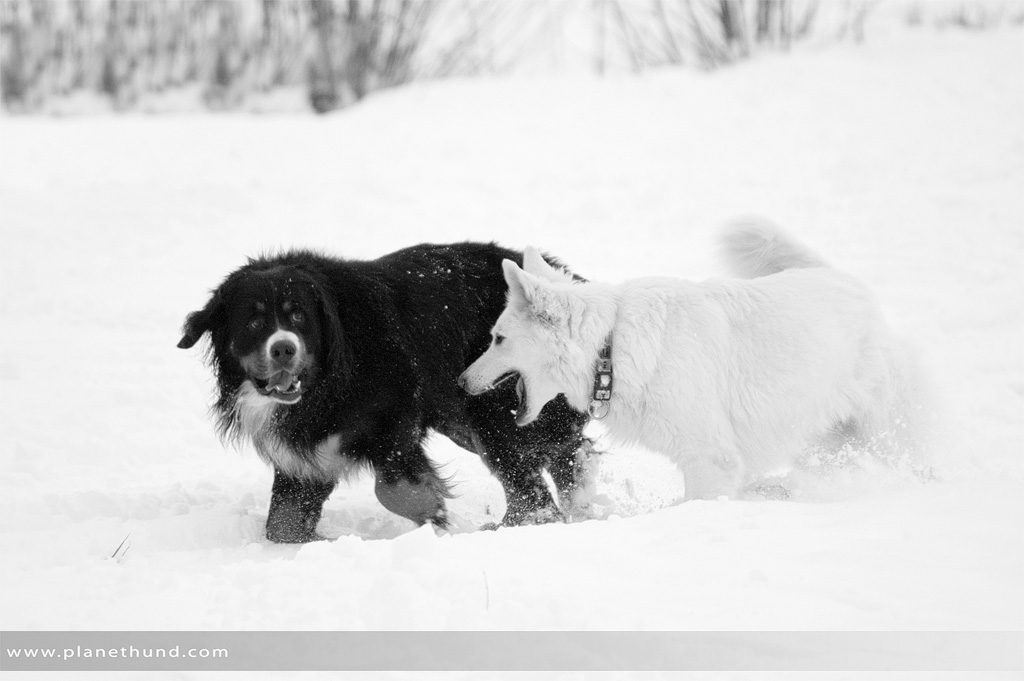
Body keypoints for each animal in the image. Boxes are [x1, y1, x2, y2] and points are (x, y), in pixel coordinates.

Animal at [177, 242, 593, 540]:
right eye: (254, 321)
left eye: (299, 316)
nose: (283, 348)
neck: (327, 382)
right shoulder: (307, 451)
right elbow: (282, 525)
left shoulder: (394, 420)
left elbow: (392, 489)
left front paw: (442, 520)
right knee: (565, 457)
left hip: (492, 411)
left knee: (532, 494)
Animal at [460, 223, 909, 499]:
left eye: (498, 339)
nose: (460, 382)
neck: (611, 348)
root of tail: (843, 279)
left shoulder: (711, 460)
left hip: (884, 433)